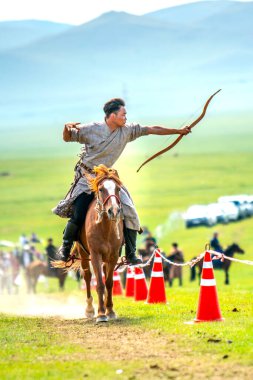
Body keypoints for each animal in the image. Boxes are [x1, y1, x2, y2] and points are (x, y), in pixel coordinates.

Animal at [70, 165, 123, 322]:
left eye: (118, 189)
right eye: (101, 189)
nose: (114, 211)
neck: (105, 228)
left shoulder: (113, 256)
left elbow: (109, 283)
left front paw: (110, 310)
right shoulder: (95, 255)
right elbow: (99, 283)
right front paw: (101, 314)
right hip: (83, 254)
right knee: (87, 276)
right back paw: (89, 309)